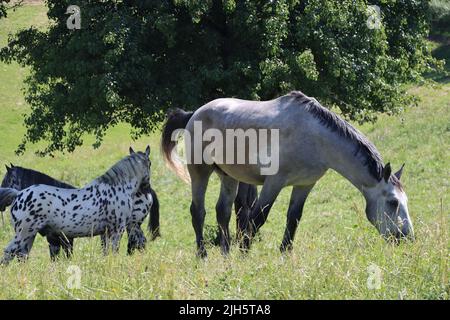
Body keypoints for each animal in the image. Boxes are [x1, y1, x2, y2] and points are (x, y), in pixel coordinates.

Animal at [0, 146, 153, 264]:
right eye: (150, 163)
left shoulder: (107, 232)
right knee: (9, 253)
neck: (118, 187)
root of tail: (19, 194)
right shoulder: (116, 230)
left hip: (29, 236)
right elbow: (112, 252)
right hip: (24, 233)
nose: (147, 187)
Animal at [162, 90, 414, 258]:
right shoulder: (274, 182)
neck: (314, 137)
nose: (407, 237)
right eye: (393, 202)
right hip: (200, 172)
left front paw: (285, 253)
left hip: (228, 176)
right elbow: (256, 218)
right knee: (198, 212)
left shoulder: (304, 185)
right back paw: (202, 254)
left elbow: (293, 218)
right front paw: (245, 254)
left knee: (222, 212)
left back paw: (226, 254)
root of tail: (194, 113)